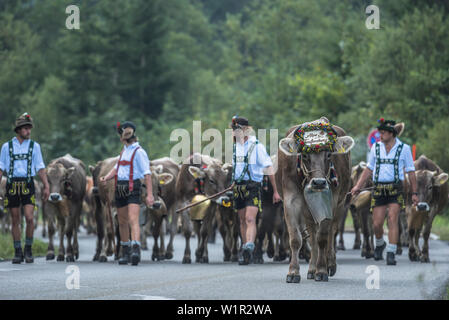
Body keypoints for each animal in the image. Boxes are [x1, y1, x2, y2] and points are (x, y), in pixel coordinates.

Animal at [276, 116, 354, 282]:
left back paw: (329, 264)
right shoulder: (290, 200)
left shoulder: (332, 201)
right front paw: (293, 272)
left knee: (331, 232)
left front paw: (322, 270)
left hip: (340, 204)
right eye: (305, 155)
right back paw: (312, 268)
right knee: (312, 235)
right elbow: (296, 239)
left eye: (329, 154)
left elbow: (323, 237)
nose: (319, 182)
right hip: (307, 210)